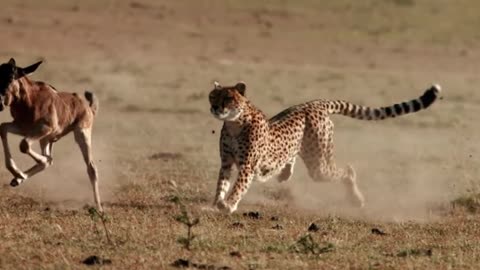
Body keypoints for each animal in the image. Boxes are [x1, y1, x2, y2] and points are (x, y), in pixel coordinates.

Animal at [0, 58, 103, 211]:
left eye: (12, 76)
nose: (0, 103)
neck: (31, 99)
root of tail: (89, 107)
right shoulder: (23, 129)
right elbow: (3, 128)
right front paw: (17, 174)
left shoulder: (44, 128)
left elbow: (25, 146)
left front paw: (20, 173)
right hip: (45, 140)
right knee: (50, 158)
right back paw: (17, 179)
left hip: (81, 134)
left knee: (91, 167)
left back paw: (99, 208)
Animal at [210, 81, 442, 214]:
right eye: (212, 96)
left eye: (228, 98)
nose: (214, 107)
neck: (235, 122)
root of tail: (314, 103)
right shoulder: (227, 163)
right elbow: (221, 184)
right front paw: (217, 202)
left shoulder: (247, 166)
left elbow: (238, 186)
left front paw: (229, 204)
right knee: (291, 156)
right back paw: (283, 173)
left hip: (319, 166)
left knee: (347, 171)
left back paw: (356, 199)